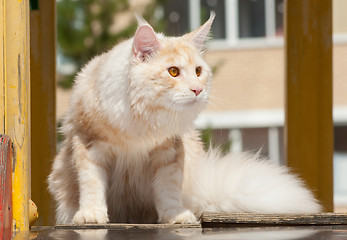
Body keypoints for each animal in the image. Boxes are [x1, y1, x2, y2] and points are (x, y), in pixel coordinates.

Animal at [47, 12, 322, 224]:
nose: (197, 90)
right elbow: (92, 185)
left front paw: (175, 217)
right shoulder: (89, 146)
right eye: (173, 72)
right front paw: (91, 215)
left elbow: (168, 190)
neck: (143, 119)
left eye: (198, 71)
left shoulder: (169, 152)